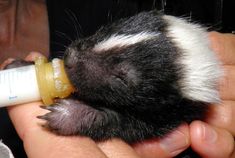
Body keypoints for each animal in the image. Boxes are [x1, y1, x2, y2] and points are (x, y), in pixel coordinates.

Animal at [9, 10, 222, 157]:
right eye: (105, 30)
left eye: (121, 78)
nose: (70, 58)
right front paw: (24, 66)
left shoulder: (161, 119)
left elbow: (121, 124)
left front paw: (70, 115)